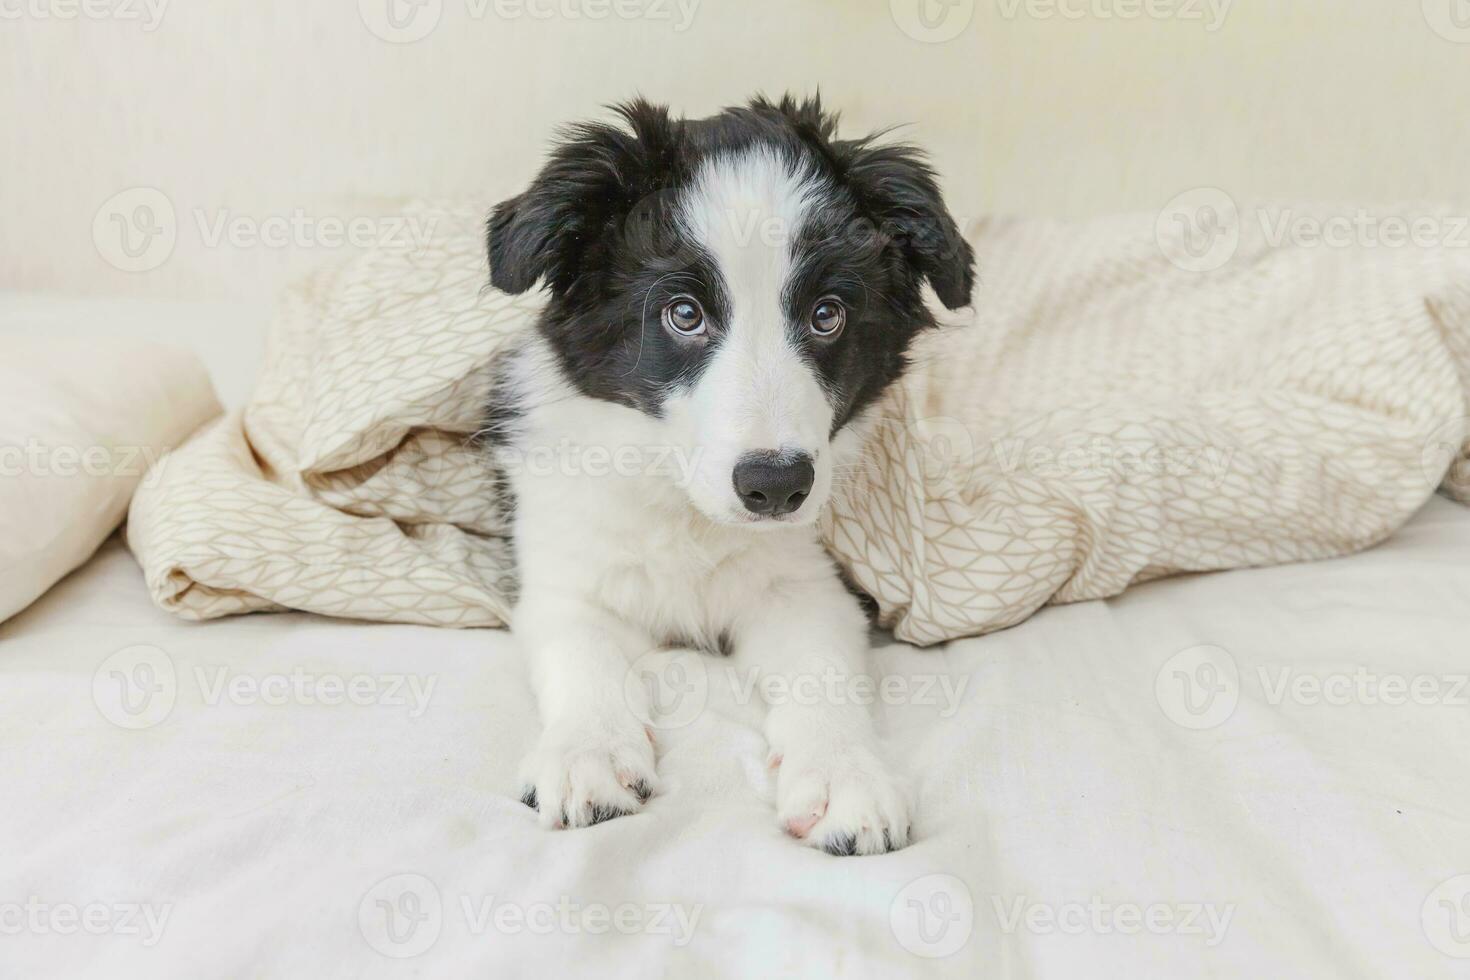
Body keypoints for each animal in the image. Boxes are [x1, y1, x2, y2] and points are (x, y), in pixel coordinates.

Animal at [482, 94, 981, 858]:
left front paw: (844, 775)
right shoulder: (566, 579)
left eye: (827, 314)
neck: (691, 514)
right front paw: (587, 753)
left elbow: (821, 674)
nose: (775, 486)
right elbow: (582, 653)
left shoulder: (808, 587)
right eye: (683, 314)